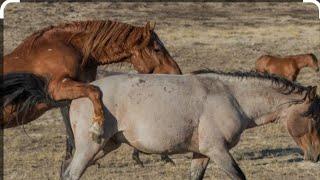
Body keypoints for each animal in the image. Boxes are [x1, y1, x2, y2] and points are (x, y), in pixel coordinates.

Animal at [1, 20, 181, 164]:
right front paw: (97, 129)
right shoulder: (58, 88)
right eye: (157, 49)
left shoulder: (70, 95)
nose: (177, 73)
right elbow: (96, 93)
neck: (71, 47)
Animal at [63, 69, 320, 179]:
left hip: (104, 146)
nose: (316, 155)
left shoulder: (201, 154)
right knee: (71, 174)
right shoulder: (217, 151)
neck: (231, 96)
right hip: (90, 148)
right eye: (311, 115)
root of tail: (84, 92)